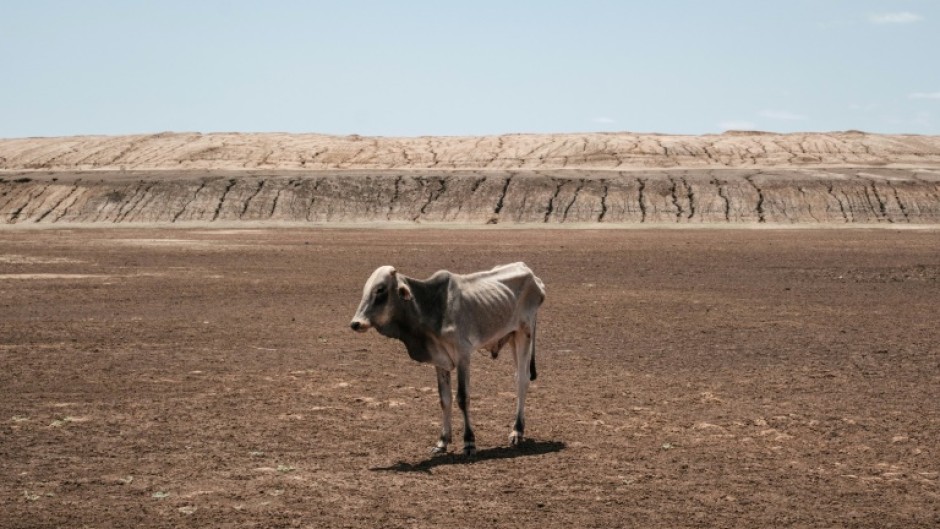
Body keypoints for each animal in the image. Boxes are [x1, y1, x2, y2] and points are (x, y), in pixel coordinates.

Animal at [350, 260, 544, 454]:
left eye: (380, 289)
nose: (356, 323)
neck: (430, 306)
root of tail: (531, 274)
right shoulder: (440, 360)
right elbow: (444, 399)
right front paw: (442, 441)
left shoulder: (463, 355)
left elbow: (463, 398)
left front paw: (469, 441)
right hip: (512, 337)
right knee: (518, 377)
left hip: (524, 333)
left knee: (522, 379)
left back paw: (517, 431)